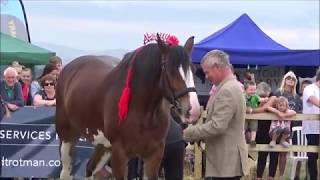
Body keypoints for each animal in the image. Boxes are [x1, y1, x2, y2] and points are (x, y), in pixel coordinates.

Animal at [55, 35, 200, 179]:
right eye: (170, 71)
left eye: (193, 70)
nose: (193, 110)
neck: (142, 112)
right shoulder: (119, 154)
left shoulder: (154, 154)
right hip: (67, 138)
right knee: (66, 172)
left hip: (103, 146)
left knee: (90, 169)